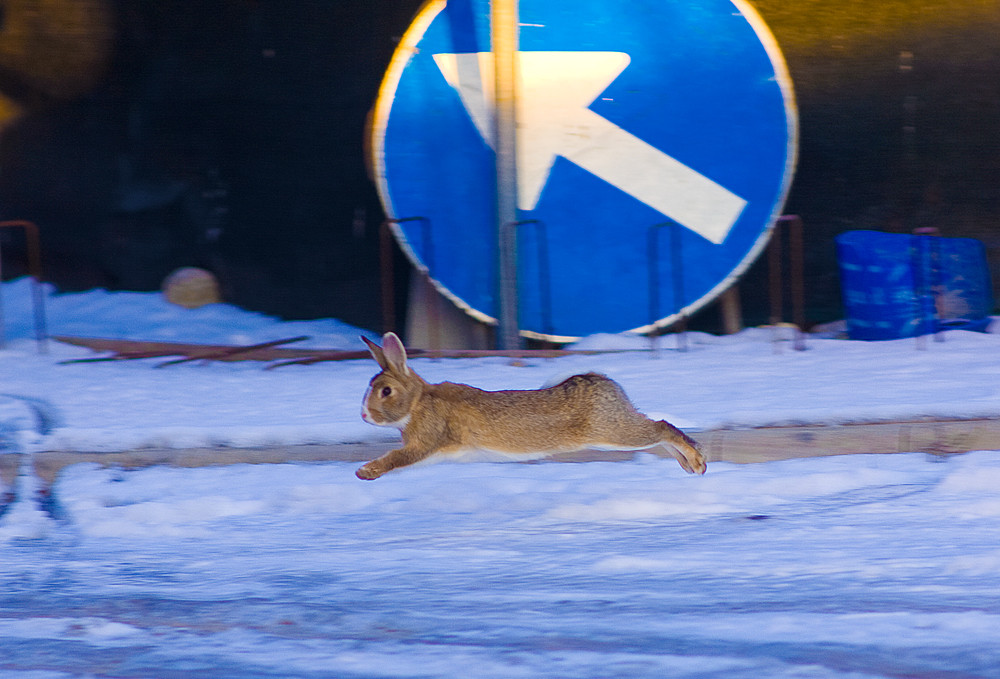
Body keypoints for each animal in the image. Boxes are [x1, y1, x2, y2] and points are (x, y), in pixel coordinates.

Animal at [356, 332, 708, 480]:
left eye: (385, 391)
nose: (363, 414)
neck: (418, 401)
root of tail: (600, 380)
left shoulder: (426, 441)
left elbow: (396, 458)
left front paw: (364, 472)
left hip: (612, 432)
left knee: (661, 427)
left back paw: (698, 462)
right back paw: (689, 466)